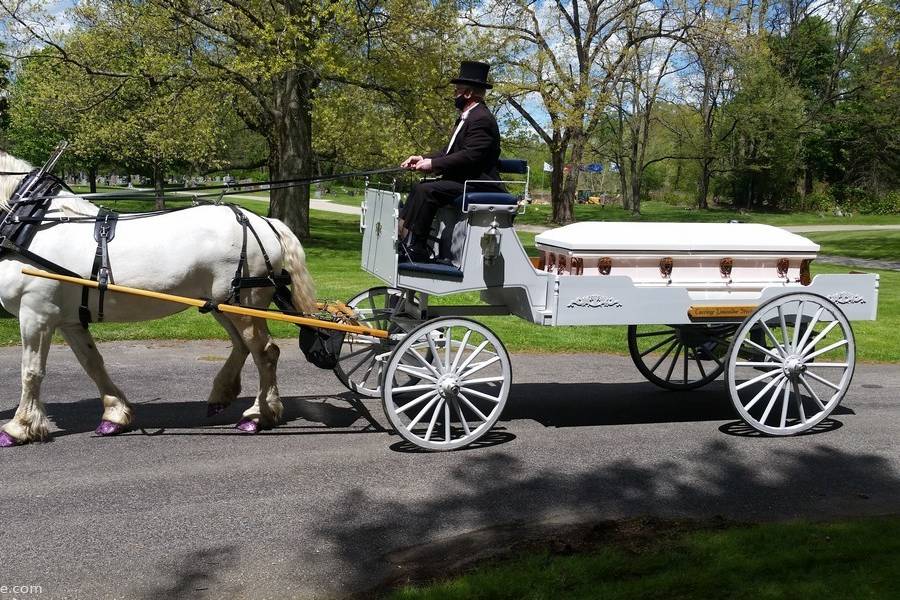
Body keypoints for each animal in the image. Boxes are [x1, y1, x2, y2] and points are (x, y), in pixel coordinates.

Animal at [0, 152, 316, 448]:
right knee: (243, 346)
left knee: (265, 352)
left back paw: (259, 414)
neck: (30, 221)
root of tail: (264, 222)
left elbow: (31, 371)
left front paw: (19, 427)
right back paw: (222, 394)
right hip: (221, 304)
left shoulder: (36, 313)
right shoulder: (69, 320)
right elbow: (92, 363)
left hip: (244, 305)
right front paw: (115, 415)